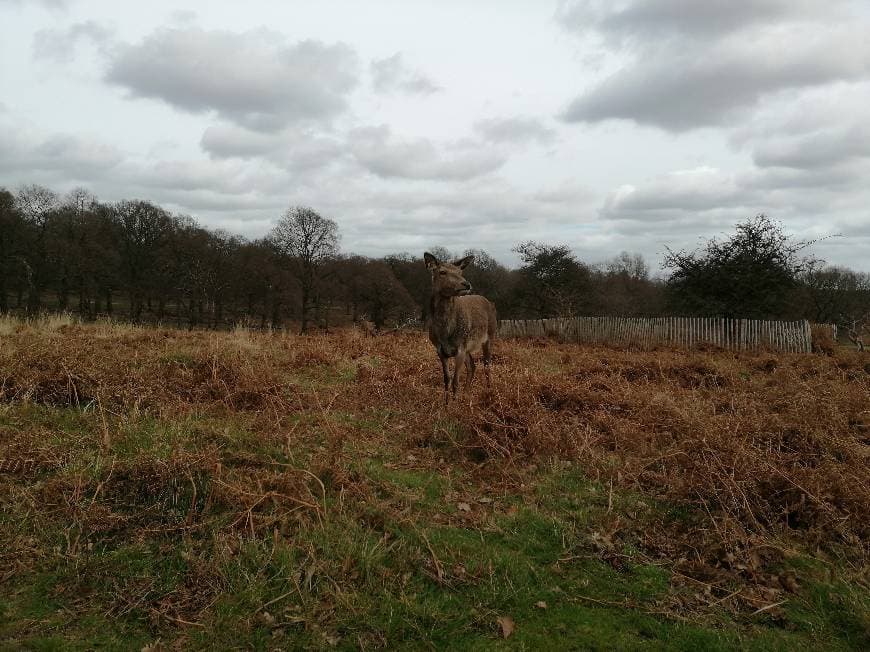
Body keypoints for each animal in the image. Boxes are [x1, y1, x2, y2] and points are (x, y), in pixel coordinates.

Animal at [424, 253, 498, 402]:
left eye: (460, 272)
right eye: (442, 272)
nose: (466, 284)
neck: (445, 332)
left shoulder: (460, 348)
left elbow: (455, 381)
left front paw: (454, 403)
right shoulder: (440, 349)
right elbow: (446, 379)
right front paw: (446, 403)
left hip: (490, 335)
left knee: (487, 366)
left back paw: (489, 391)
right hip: (468, 346)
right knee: (473, 366)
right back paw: (466, 393)